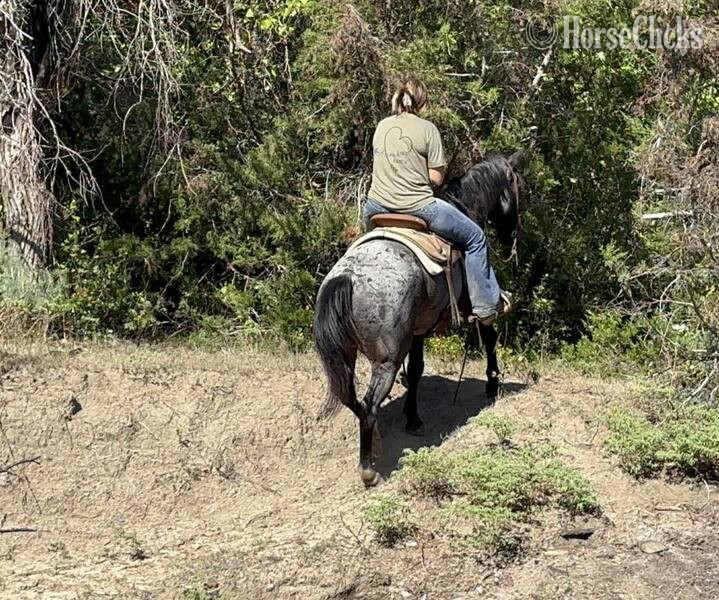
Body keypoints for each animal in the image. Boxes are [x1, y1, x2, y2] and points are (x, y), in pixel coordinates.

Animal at [313, 151, 524, 487]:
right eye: (517, 187)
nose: (512, 235)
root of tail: (347, 278)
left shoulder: (416, 332)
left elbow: (415, 371)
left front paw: (412, 417)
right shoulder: (470, 306)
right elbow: (489, 335)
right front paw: (493, 384)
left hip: (345, 356)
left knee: (352, 400)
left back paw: (376, 445)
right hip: (386, 360)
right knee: (368, 404)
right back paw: (368, 470)